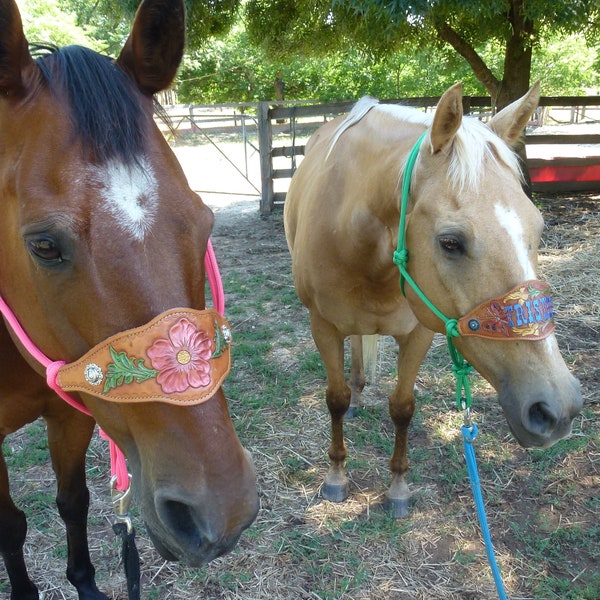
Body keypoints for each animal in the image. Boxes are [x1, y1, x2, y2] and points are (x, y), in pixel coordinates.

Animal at [0, 1, 258, 600]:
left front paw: (87, 584)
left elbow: (73, 502)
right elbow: (9, 525)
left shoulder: (68, 409)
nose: (221, 513)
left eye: (204, 220)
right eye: (44, 246)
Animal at [284, 82, 584, 516]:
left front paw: (398, 487)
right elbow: (335, 400)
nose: (557, 409)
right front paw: (336, 476)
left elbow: (402, 407)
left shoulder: (419, 332)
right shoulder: (322, 326)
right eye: (450, 242)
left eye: (538, 228)